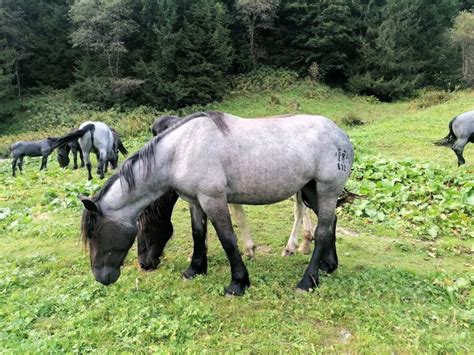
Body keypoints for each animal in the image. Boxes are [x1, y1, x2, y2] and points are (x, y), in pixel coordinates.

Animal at [79, 112, 354, 296]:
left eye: (95, 235)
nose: (101, 277)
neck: (181, 151)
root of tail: (341, 135)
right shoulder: (195, 201)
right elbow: (198, 234)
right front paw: (195, 269)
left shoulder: (214, 200)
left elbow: (228, 239)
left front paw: (238, 283)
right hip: (311, 190)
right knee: (330, 224)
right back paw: (328, 266)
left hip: (326, 190)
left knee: (322, 231)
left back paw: (307, 281)